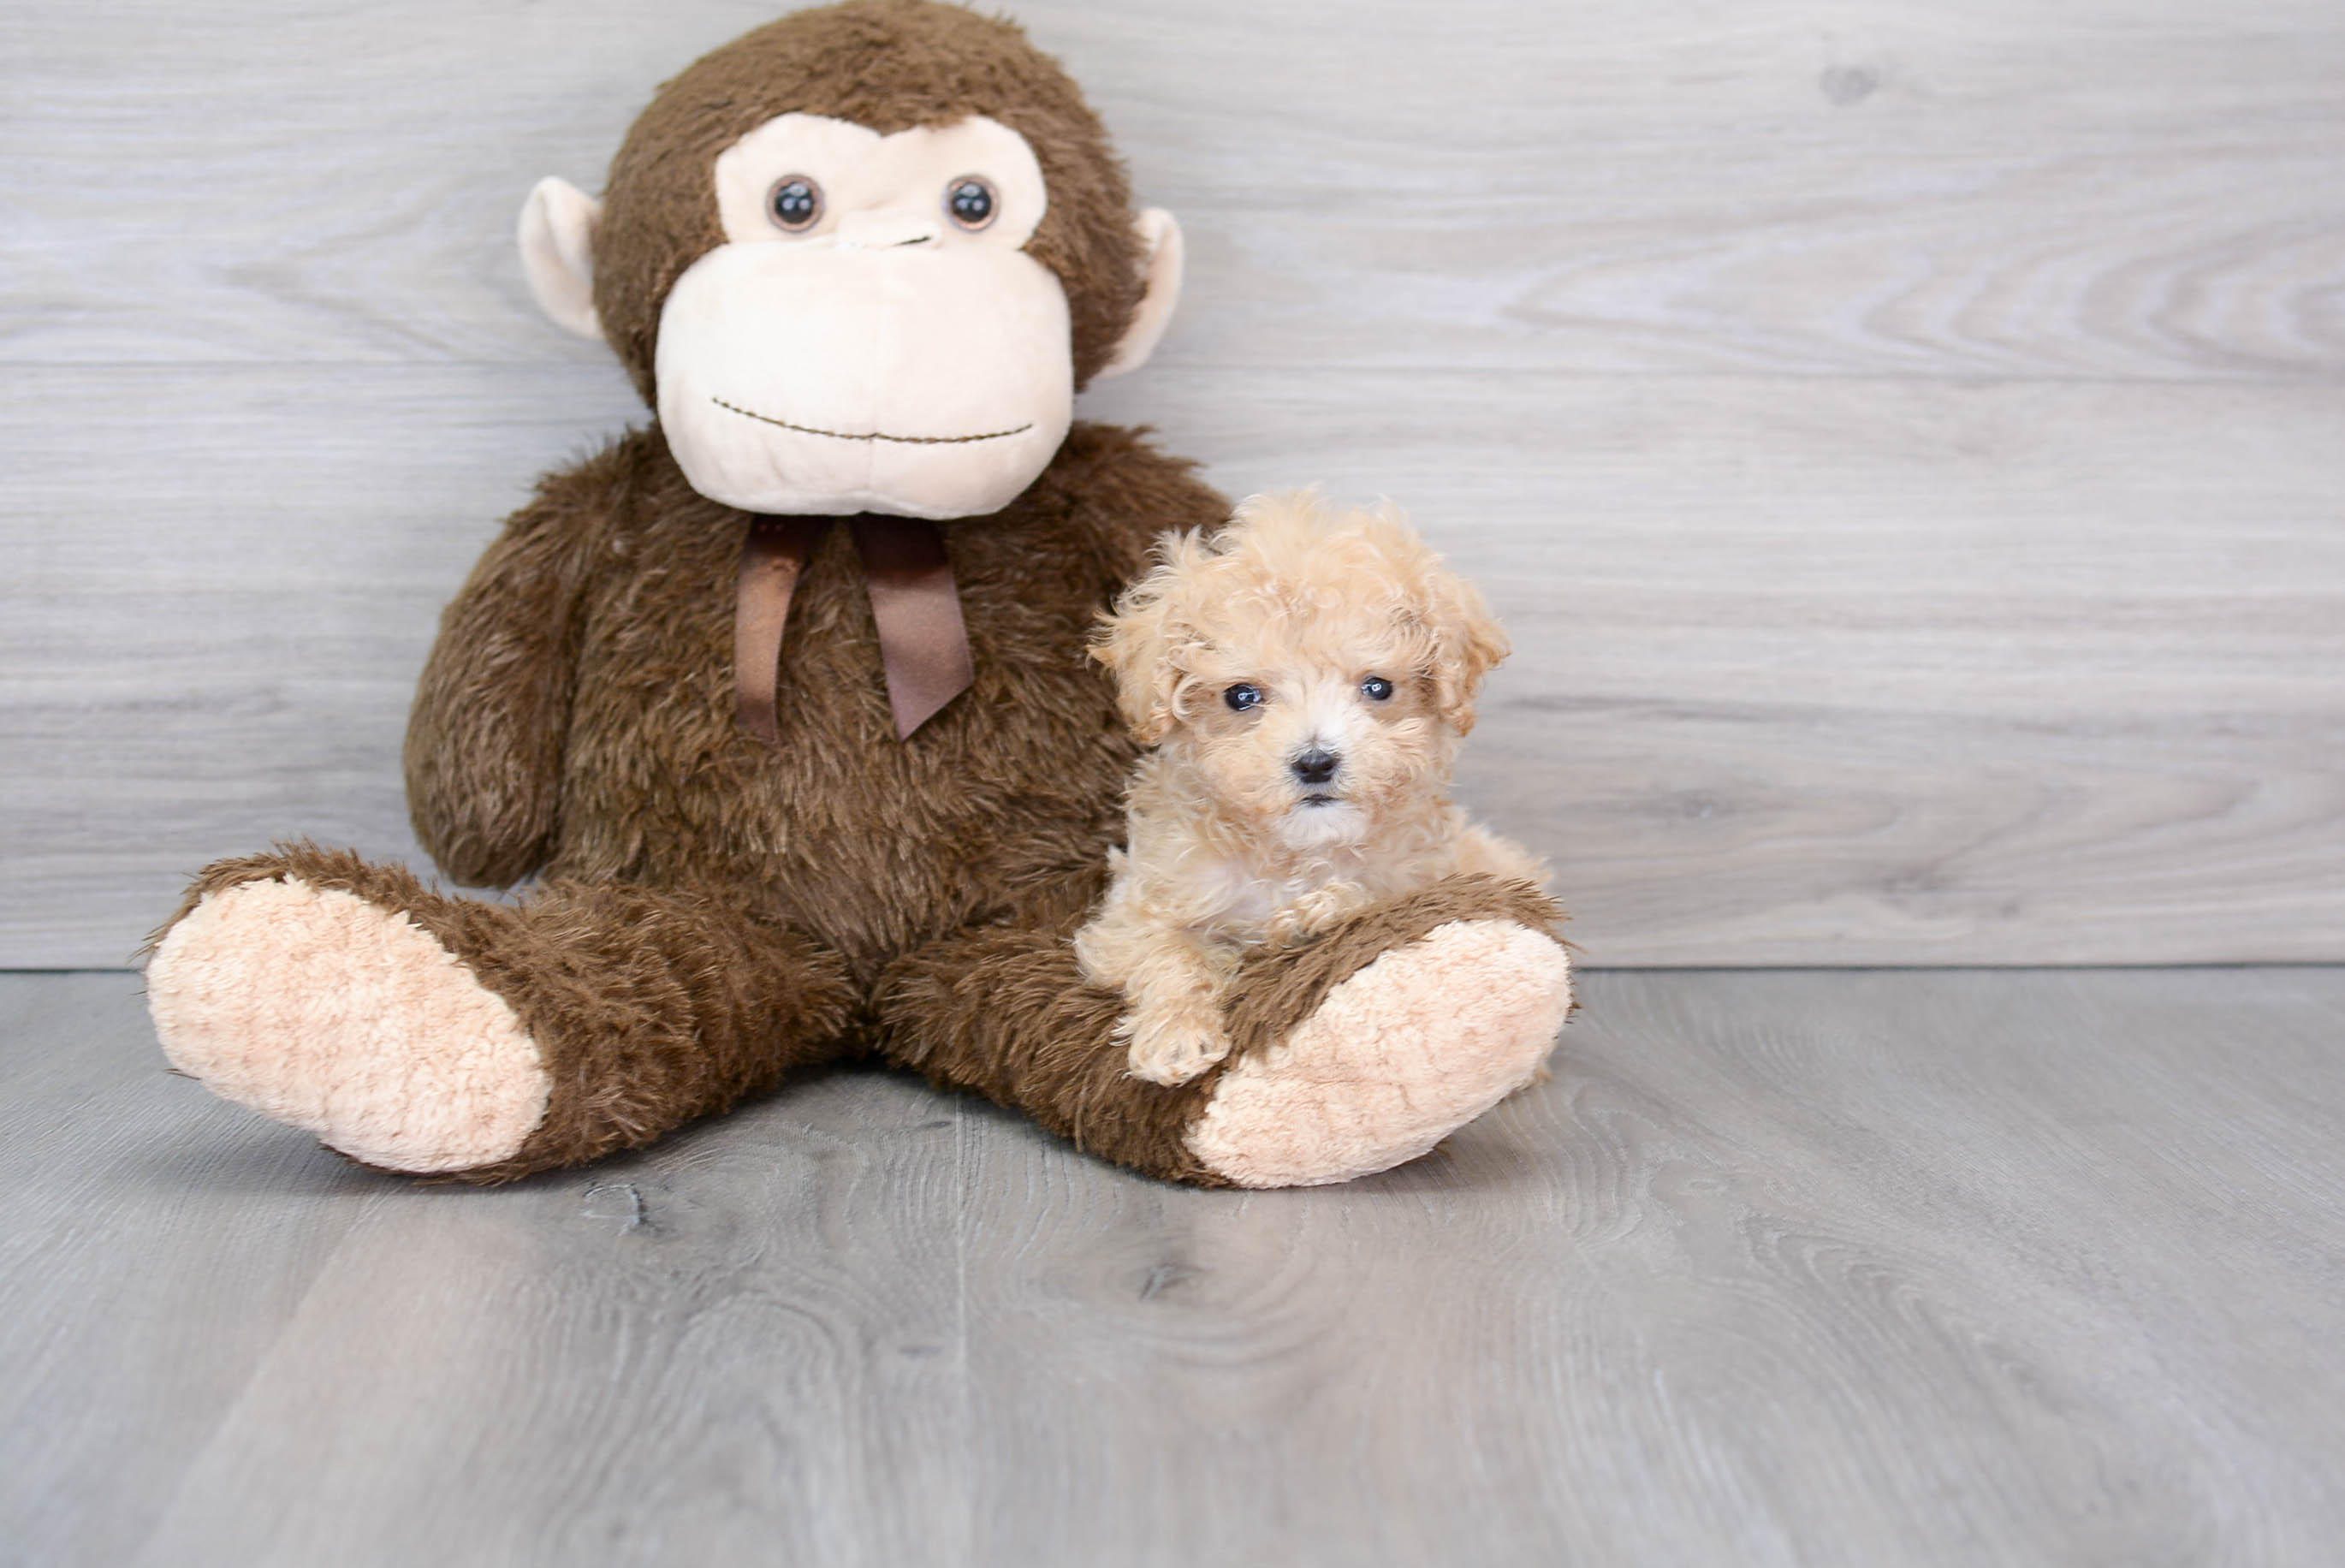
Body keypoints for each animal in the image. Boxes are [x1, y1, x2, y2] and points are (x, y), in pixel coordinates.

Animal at [1073, 494, 1547, 1083]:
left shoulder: (1427, 877)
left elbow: (1377, 899)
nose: (1316, 762)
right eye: (1241, 696)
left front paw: (1314, 916)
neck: (1298, 852)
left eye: (1378, 687)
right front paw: (1176, 1036)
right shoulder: (1141, 901)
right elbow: (1165, 949)